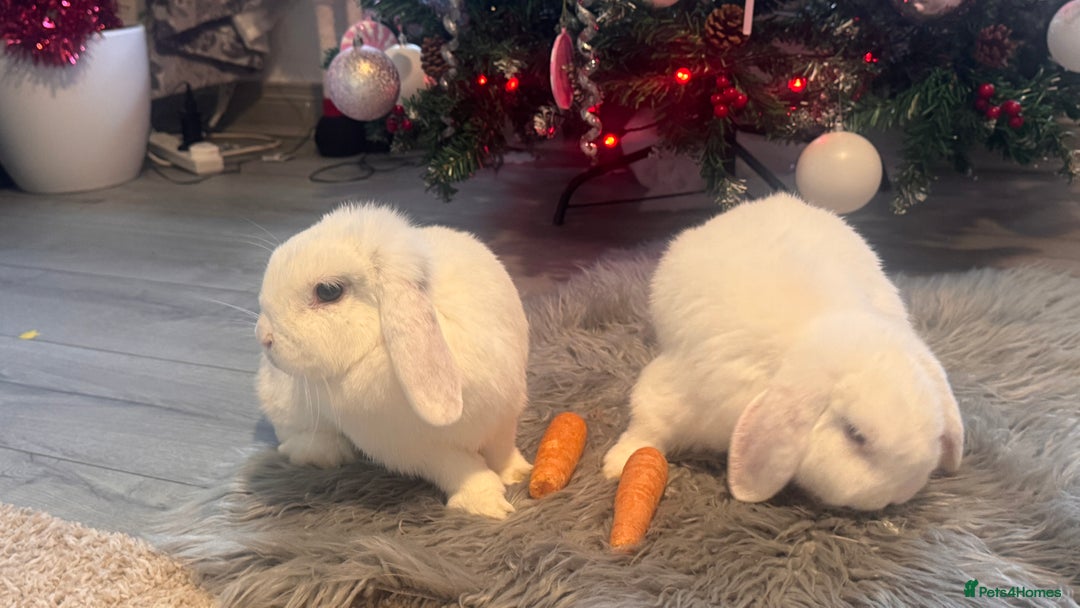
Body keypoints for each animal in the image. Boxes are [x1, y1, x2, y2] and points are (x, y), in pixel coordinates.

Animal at [254, 203, 532, 519]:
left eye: (328, 291)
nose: (264, 336)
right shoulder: (418, 449)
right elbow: (463, 469)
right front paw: (487, 506)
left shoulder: (504, 417)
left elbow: (503, 451)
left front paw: (519, 474)